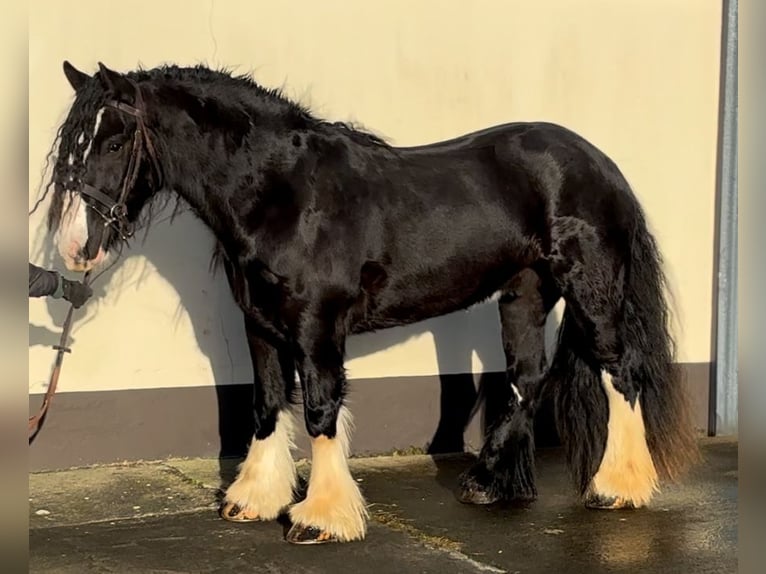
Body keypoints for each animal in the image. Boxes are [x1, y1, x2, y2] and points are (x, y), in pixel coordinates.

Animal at [42, 60, 704, 548]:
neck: (282, 194)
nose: (75, 246)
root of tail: (601, 166)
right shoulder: (259, 325)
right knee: (526, 378)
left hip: (591, 289)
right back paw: (490, 484)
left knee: (621, 373)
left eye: (114, 139)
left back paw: (616, 488)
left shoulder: (317, 327)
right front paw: (253, 500)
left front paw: (321, 517)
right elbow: (266, 405)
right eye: (71, 144)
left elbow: (320, 411)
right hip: (523, 292)